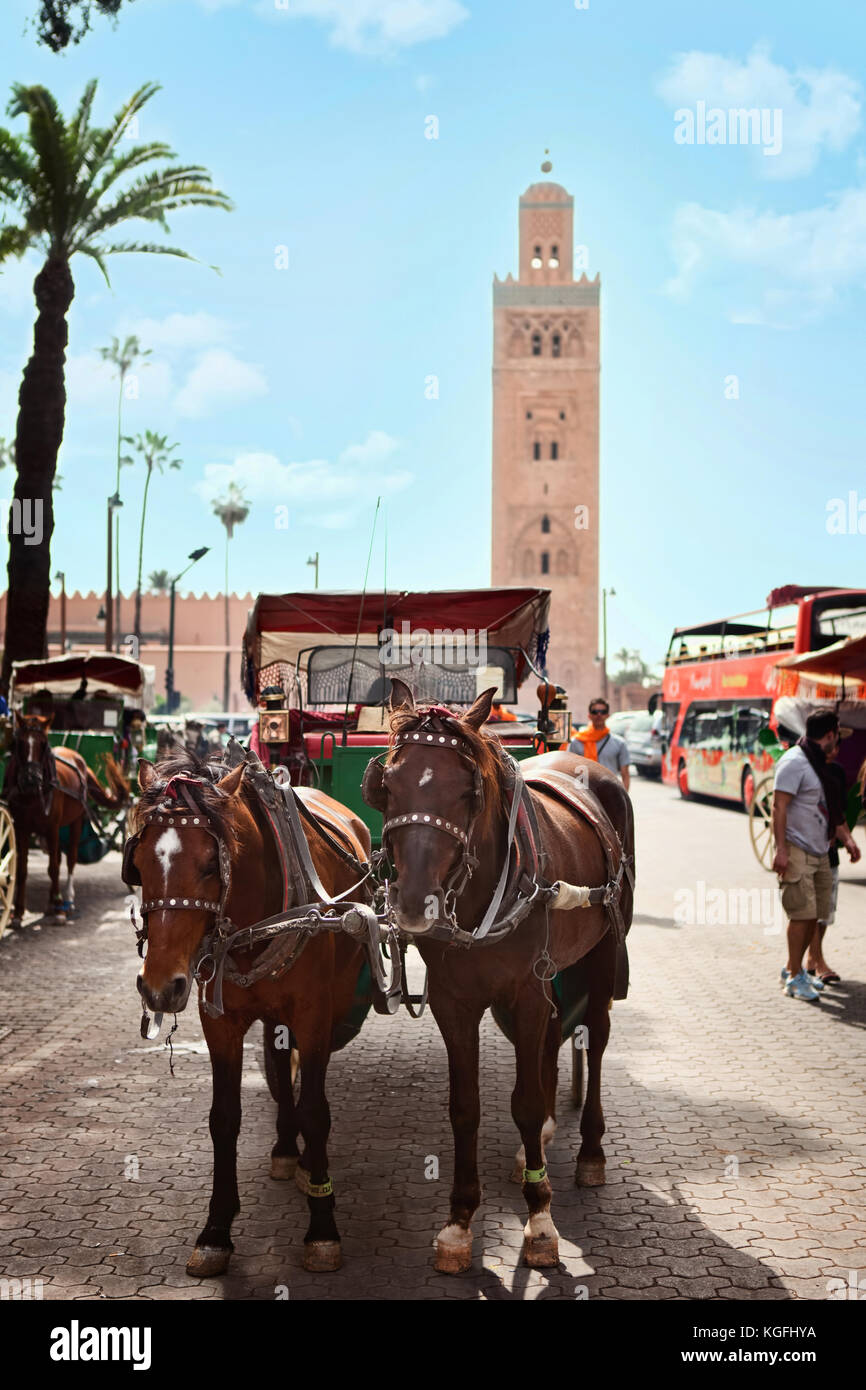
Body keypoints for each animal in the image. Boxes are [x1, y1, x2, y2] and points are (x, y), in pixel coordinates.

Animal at [5, 711, 128, 928]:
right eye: (19, 743)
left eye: (43, 743)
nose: (31, 779)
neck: (31, 795)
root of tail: (77, 757)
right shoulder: (21, 828)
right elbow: (22, 870)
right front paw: (18, 913)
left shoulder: (52, 827)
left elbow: (54, 868)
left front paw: (60, 911)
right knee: (59, 859)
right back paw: (51, 903)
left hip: (76, 821)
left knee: (69, 859)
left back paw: (67, 901)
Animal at [127, 756, 369, 1273]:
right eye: (137, 864)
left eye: (208, 866)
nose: (159, 987)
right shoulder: (218, 1022)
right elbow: (224, 1117)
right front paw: (216, 1230)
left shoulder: (314, 1015)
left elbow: (316, 1111)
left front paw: (322, 1227)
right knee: (278, 1060)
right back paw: (285, 1148)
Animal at [361, 678, 633, 1273]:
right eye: (387, 786)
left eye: (468, 791)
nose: (415, 904)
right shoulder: (454, 1002)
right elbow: (465, 1108)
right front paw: (460, 1221)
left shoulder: (525, 993)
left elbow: (524, 1104)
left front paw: (540, 1219)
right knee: (556, 1031)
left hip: (603, 952)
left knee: (596, 1036)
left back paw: (590, 1150)